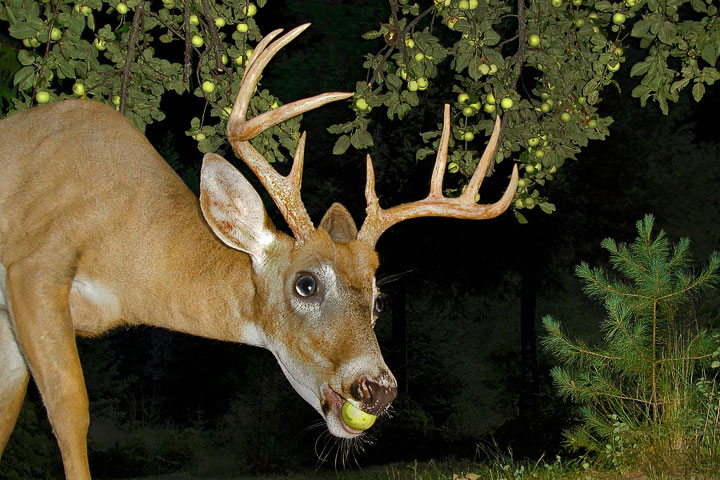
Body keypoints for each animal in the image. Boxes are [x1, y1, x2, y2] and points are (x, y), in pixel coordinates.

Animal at [0, 23, 516, 480]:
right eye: (306, 284)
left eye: (378, 301)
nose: (377, 389)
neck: (126, 252)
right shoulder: (35, 264)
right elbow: (69, 410)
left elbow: (7, 417)